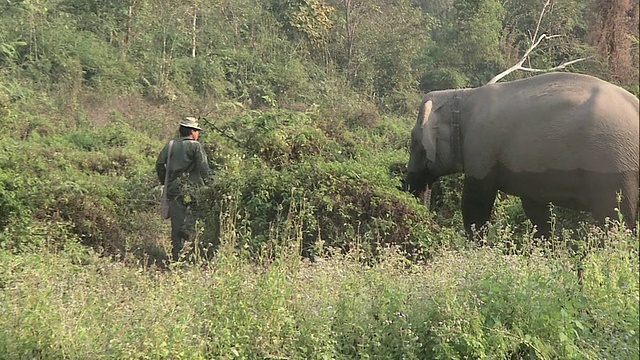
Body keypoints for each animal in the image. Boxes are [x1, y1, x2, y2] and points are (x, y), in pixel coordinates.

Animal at [408, 71, 636, 238]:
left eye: (415, 142)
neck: (463, 96)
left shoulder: (480, 146)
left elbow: (476, 203)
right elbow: (535, 209)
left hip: (612, 168)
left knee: (615, 218)